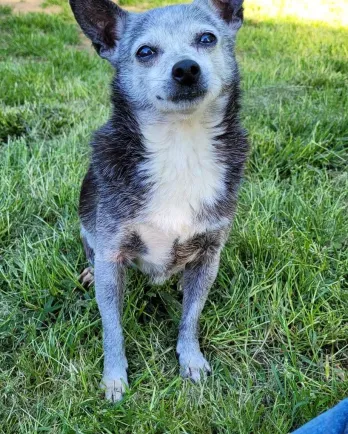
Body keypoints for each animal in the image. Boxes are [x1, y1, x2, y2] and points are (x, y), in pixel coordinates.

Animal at [69, 0, 247, 402]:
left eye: (207, 39)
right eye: (145, 52)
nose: (186, 69)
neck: (180, 147)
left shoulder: (211, 252)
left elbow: (191, 318)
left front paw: (191, 359)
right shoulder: (113, 253)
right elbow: (112, 327)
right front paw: (114, 377)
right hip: (88, 229)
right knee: (89, 251)